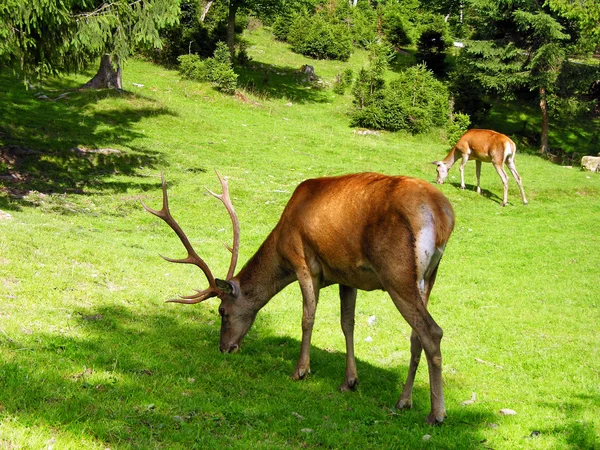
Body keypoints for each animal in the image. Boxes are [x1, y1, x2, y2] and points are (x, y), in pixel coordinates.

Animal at [142, 172, 454, 426]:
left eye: (222, 311)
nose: (225, 348)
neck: (281, 242)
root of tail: (442, 216)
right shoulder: (346, 276)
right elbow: (347, 323)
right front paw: (349, 382)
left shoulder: (303, 263)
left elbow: (307, 317)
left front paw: (300, 370)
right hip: (429, 276)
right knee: (416, 335)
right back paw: (404, 400)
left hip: (396, 273)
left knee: (432, 331)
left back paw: (436, 413)